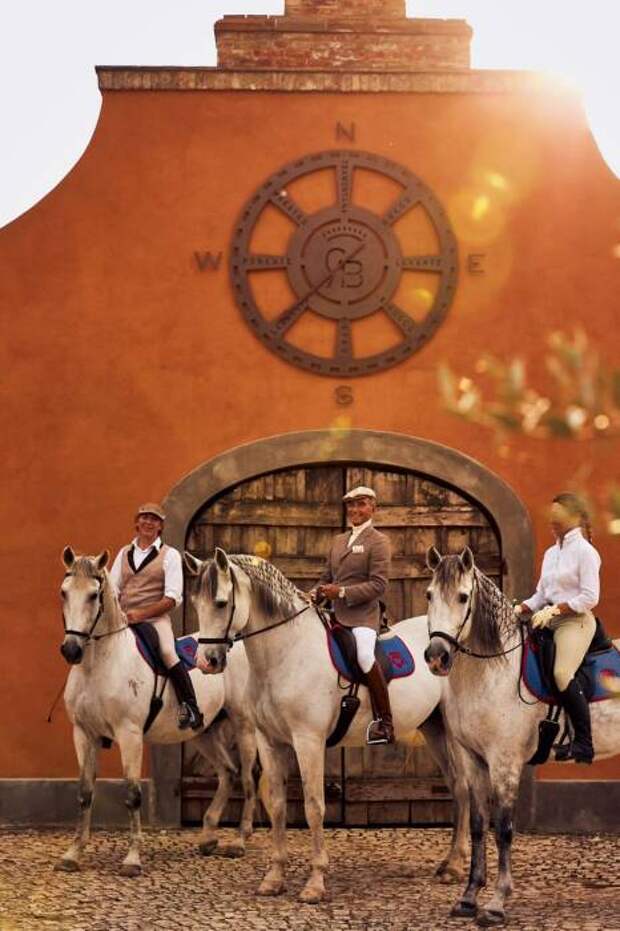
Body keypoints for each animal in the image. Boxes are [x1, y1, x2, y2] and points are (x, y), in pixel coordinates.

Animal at [56, 546, 257, 876]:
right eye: (64, 592)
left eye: (93, 595)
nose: (71, 650)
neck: (98, 665)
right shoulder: (83, 734)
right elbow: (85, 793)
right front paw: (73, 854)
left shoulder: (129, 735)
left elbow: (132, 795)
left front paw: (132, 859)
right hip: (203, 732)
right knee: (228, 772)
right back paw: (208, 836)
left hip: (245, 727)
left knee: (249, 779)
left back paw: (239, 841)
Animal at [186, 546, 470, 904]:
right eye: (195, 603)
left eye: (222, 603)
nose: (206, 662)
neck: (286, 652)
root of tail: (445, 646)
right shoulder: (270, 741)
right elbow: (278, 806)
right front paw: (274, 878)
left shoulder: (308, 741)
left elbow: (313, 807)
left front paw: (315, 883)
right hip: (433, 729)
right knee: (455, 787)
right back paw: (448, 863)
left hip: (452, 732)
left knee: (463, 786)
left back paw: (457, 866)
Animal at [423, 545, 620, 927]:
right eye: (429, 595)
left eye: (463, 596)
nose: (436, 657)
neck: (490, 670)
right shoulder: (473, 760)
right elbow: (478, 824)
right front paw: (468, 897)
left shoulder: (504, 762)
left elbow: (503, 828)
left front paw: (497, 903)